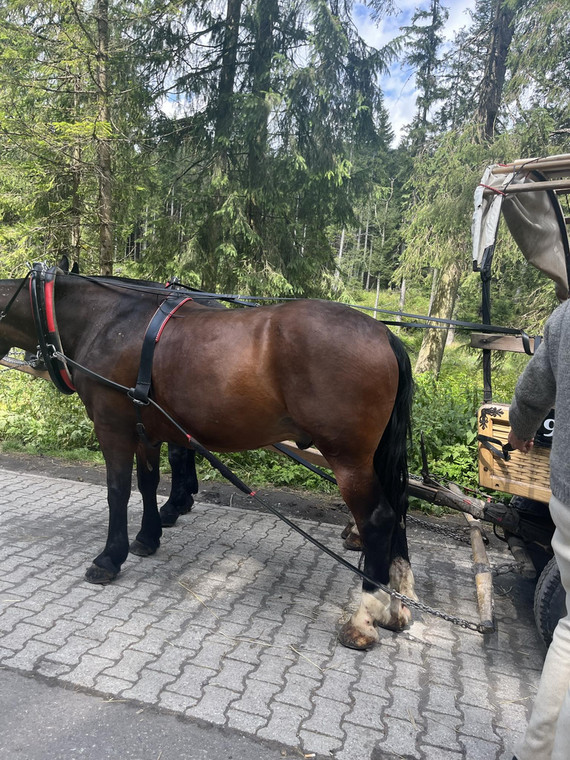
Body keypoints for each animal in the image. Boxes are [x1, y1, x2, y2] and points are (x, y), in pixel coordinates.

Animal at [0, 270, 412, 652]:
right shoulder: (146, 430)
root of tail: (383, 334)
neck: (108, 320)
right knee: (398, 514)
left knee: (378, 519)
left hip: (349, 460)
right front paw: (148, 536)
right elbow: (148, 484)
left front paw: (109, 558)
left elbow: (118, 492)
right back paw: (395, 607)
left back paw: (363, 619)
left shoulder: (113, 427)